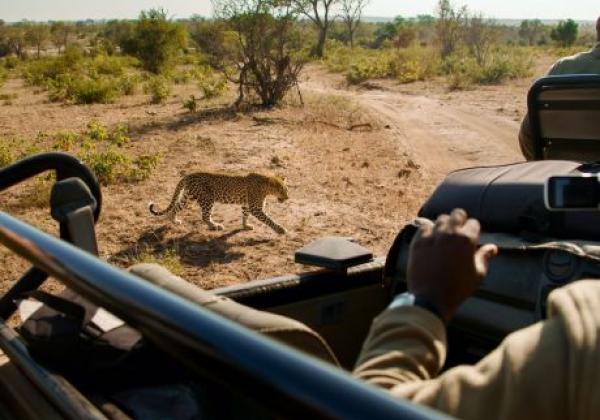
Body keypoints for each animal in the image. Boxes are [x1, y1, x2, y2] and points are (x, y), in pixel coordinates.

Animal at [150, 172, 290, 235]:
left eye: (286, 189)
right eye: (282, 190)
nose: (287, 198)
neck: (266, 187)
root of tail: (189, 175)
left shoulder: (246, 204)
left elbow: (245, 215)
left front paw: (245, 226)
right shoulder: (256, 208)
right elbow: (269, 219)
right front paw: (280, 229)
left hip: (188, 196)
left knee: (176, 207)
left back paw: (174, 220)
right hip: (207, 199)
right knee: (205, 216)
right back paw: (215, 226)